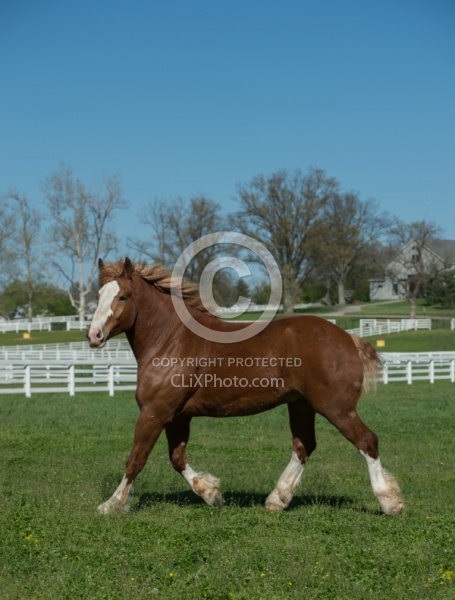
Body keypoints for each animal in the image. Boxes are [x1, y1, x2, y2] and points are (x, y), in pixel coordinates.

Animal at [87, 256, 404, 516]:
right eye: (98, 296)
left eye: (123, 296)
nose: (94, 335)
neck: (171, 341)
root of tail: (349, 338)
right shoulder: (178, 416)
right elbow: (177, 459)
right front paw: (212, 494)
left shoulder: (154, 412)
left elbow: (136, 459)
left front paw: (111, 505)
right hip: (301, 405)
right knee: (304, 446)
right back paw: (276, 500)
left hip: (336, 408)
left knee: (367, 441)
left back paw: (390, 502)